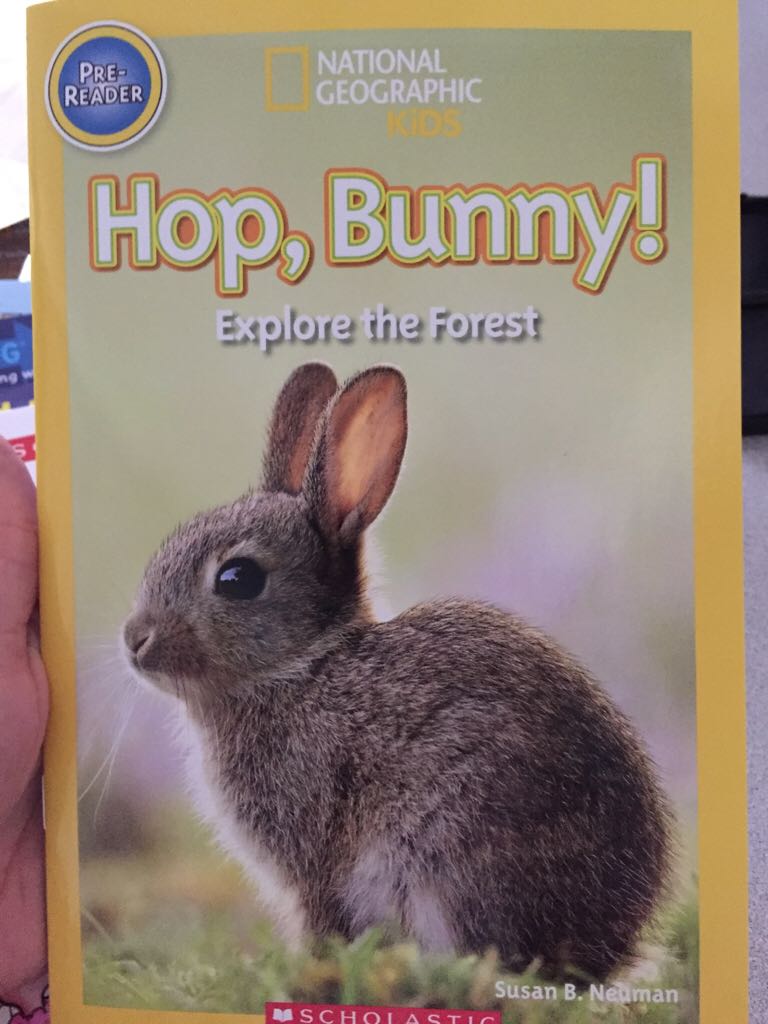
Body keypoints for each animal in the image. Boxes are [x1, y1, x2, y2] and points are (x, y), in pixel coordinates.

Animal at [123, 361, 673, 982]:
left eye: (237, 579)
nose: (134, 640)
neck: (303, 665)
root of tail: (605, 947)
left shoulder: (314, 852)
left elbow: (318, 913)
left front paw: (309, 971)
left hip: (445, 850)